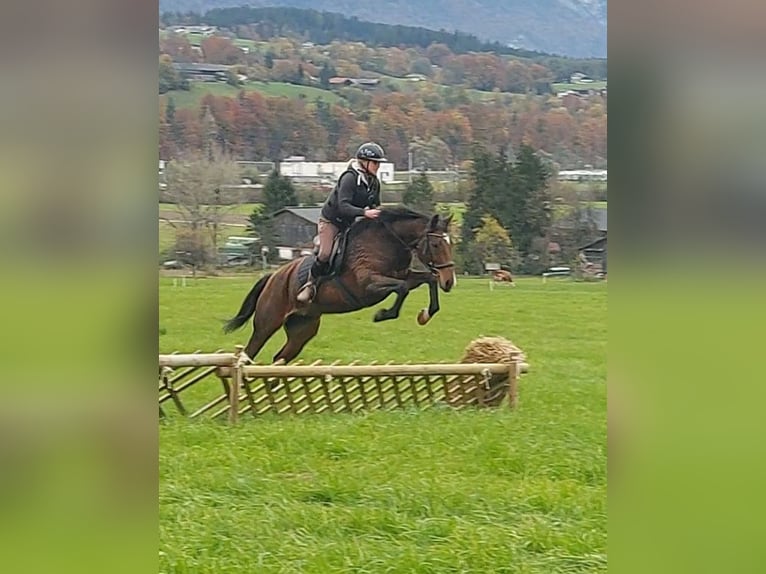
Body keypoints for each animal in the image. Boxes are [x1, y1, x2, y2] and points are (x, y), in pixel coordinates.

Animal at [222, 207, 456, 364]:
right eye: (436, 244)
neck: (386, 241)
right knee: (249, 352)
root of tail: (273, 277)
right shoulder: (369, 285)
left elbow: (428, 279)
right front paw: (382, 315)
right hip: (267, 323)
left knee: (280, 357)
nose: (449, 281)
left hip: (302, 328)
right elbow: (402, 289)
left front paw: (425, 315)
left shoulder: (405, 275)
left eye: (450, 243)